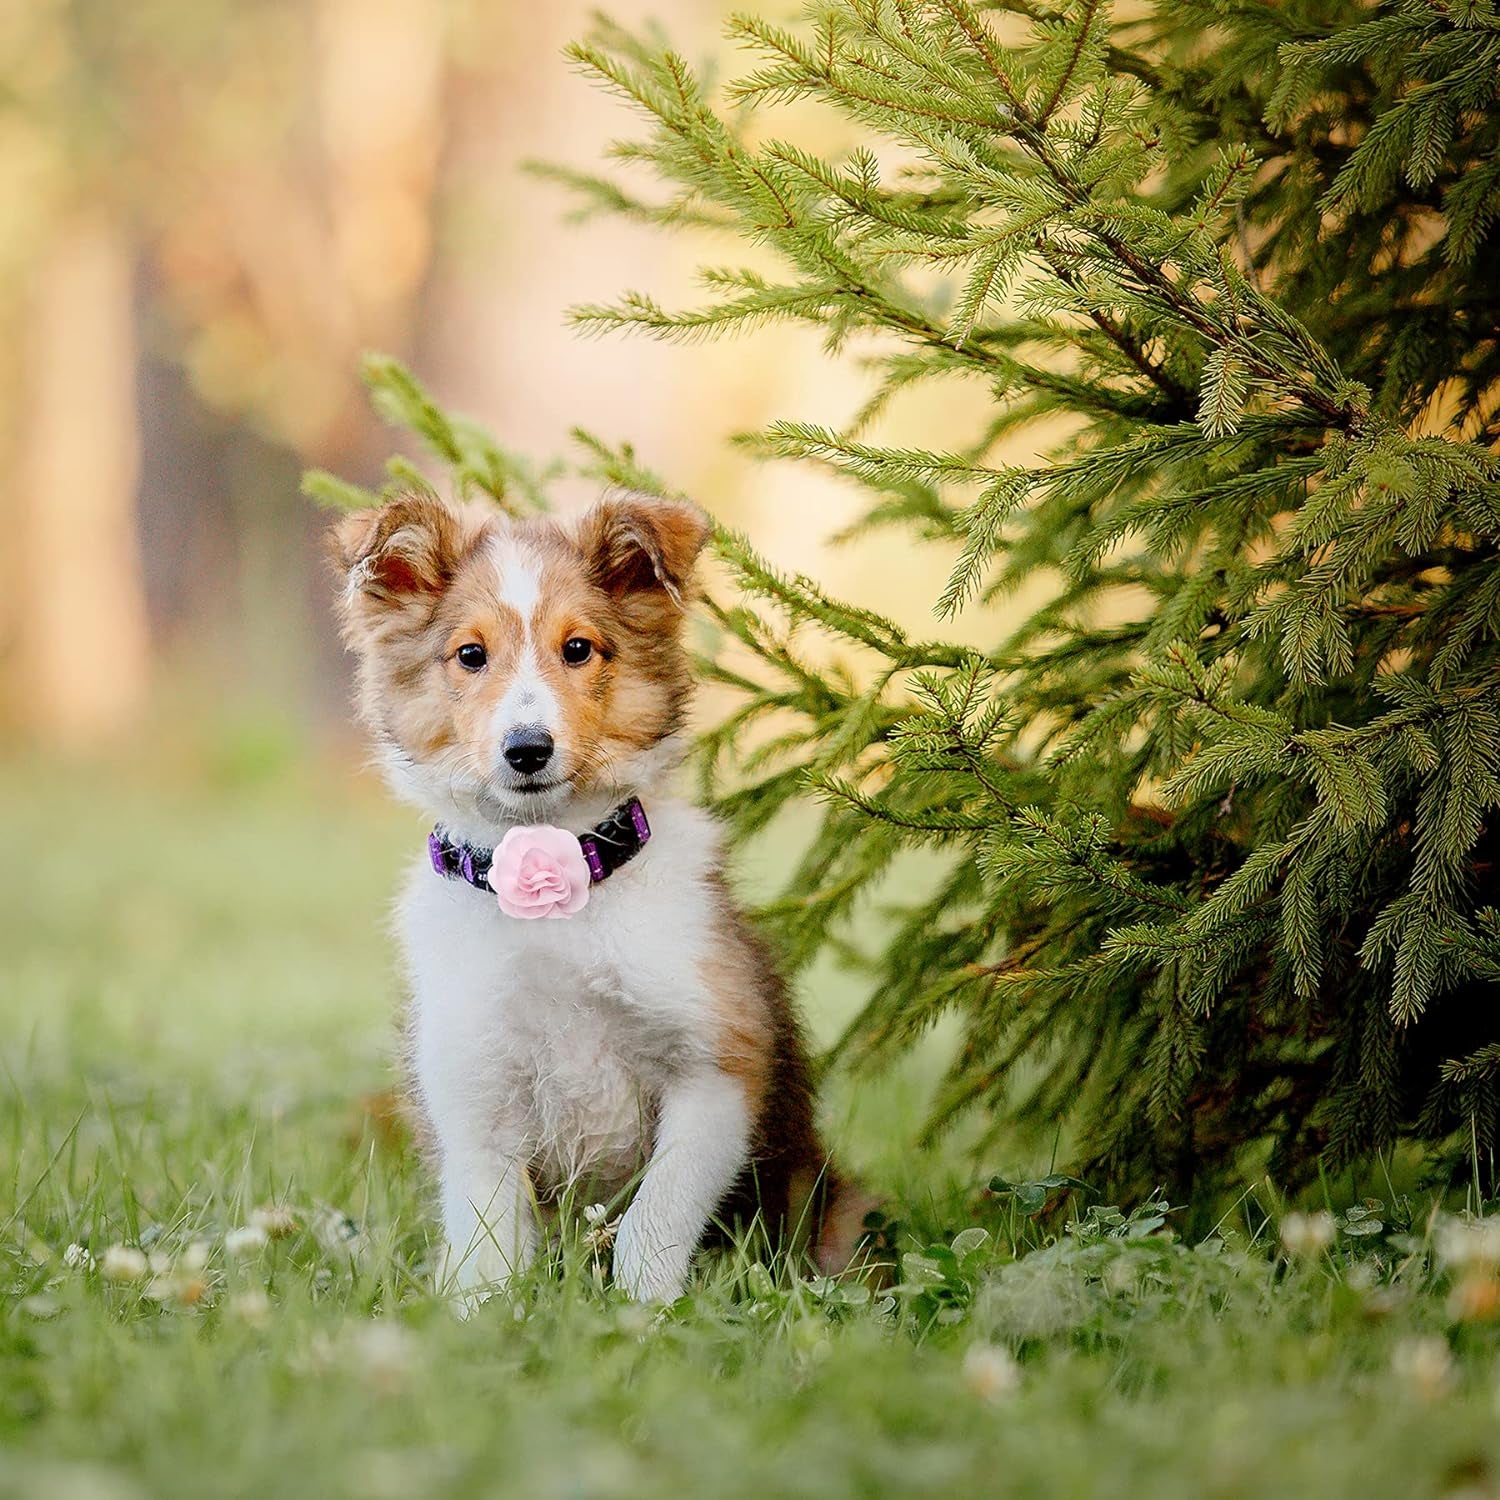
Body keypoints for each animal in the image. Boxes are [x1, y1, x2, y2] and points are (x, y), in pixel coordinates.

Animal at [328, 492, 870, 1302]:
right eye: (470, 655)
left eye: (579, 648)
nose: (527, 749)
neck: (554, 887)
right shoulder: (474, 1096)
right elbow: (490, 1250)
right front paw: (484, 1317)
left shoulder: (718, 1067)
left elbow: (655, 1215)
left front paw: (646, 1311)